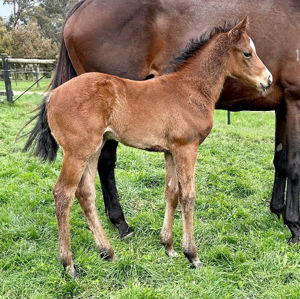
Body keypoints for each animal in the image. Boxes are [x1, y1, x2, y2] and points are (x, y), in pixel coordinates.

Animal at [24, 0, 300, 244]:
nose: (268, 79)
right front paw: (294, 227)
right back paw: (119, 226)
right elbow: (293, 165)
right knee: (93, 173)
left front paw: (277, 211)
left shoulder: (282, 106)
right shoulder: (294, 98)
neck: (188, 87)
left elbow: (279, 160)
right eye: (247, 53)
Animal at [41, 18, 270, 276]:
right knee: (63, 194)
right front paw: (192, 255)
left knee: (85, 193)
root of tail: (53, 95)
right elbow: (188, 196)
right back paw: (69, 264)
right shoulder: (187, 148)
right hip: (77, 152)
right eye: (247, 53)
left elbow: (171, 193)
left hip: (94, 149)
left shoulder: (171, 152)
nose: (268, 80)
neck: (190, 89)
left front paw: (168, 247)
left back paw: (107, 252)